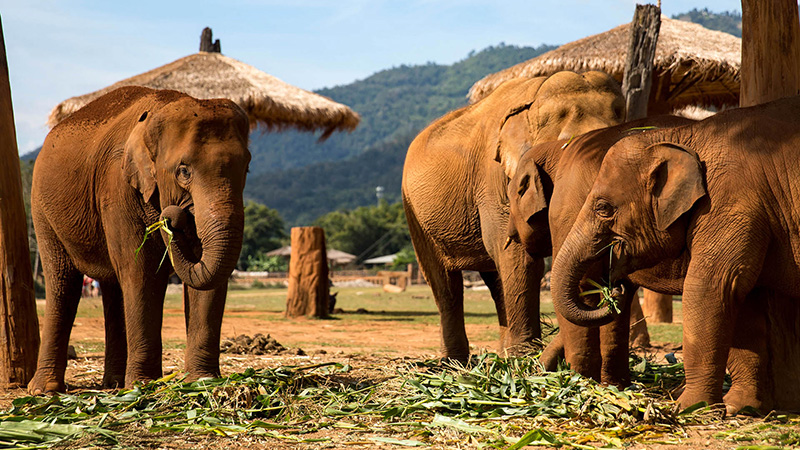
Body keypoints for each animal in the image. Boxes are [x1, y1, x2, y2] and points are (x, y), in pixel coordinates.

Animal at [29, 86, 250, 393]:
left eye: (247, 168)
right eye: (183, 171)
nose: (174, 218)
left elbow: (208, 279)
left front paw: (202, 382)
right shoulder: (117, 187)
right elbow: (142, 271)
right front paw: (144, 386)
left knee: (113, 287)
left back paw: (112, 384)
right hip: (42, 211)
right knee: (63, 283)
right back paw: (45, 390)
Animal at [402, 71, 625, 361]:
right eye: (570, 148)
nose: (616, 293)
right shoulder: (495, 180)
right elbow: (520, 256)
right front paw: (526, 356)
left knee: (495, 280)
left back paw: (499, 356)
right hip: (415, 214)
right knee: (444, 282)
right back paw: (452, 363)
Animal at [505, 115, 693, 386]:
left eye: (510, 198)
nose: (510, 232)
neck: (559, 147)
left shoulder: (567, 208)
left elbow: (584, 287)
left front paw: (579, 381)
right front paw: (615, 385)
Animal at [550, 94, 800, 413]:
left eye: (603, 208)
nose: (615, 289)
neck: (684, 136)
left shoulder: (732, 201)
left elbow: (710, 287)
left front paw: (689, 408)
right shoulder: (753, 213)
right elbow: (743, 298)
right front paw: (739, 407)